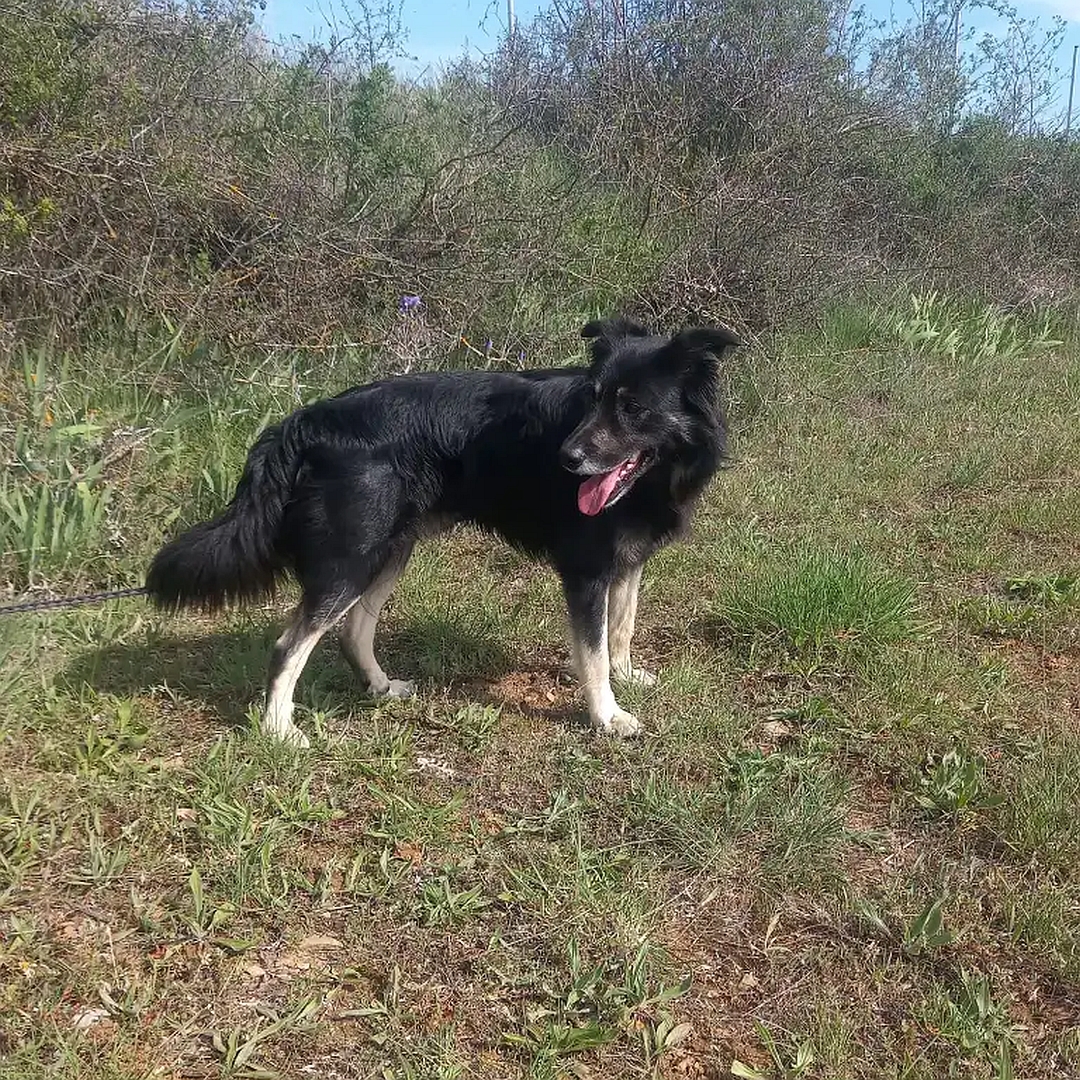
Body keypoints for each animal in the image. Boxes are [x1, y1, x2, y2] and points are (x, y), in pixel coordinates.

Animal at [147, 315, 743, 747]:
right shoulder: (586, 569)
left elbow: (621, 627)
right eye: (593, 398)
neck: (659, 471)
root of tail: (303, 422)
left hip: (390, 549)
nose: (567, 459)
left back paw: (381, 688)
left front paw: (627, 675)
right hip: (352, 557)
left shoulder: (627, 560)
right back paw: (278, 731)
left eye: (633, 407)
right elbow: (592, 650)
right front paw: (607, 715)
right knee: (288, 644)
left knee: (351, 630)